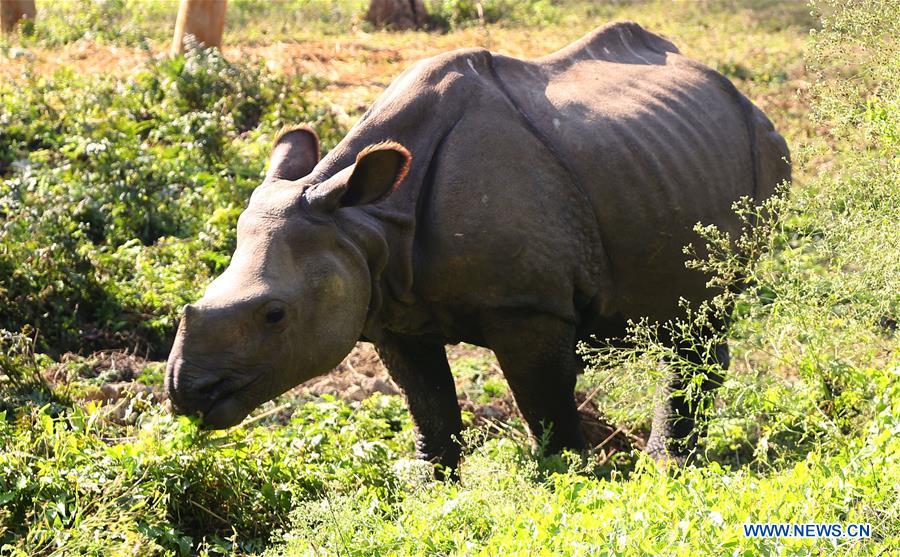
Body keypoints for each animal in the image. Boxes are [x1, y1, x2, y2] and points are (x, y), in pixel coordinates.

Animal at [165, 21, 792, 472]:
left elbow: (542, 401)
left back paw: (668, 466)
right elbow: (428, 402)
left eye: (274, 315)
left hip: (762, 147)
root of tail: (726, 83)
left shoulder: (527, 306)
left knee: (708, 312)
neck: (366, 223)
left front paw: (568, 476)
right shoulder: (387, 302)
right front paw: (428, 483)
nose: (186, 393)